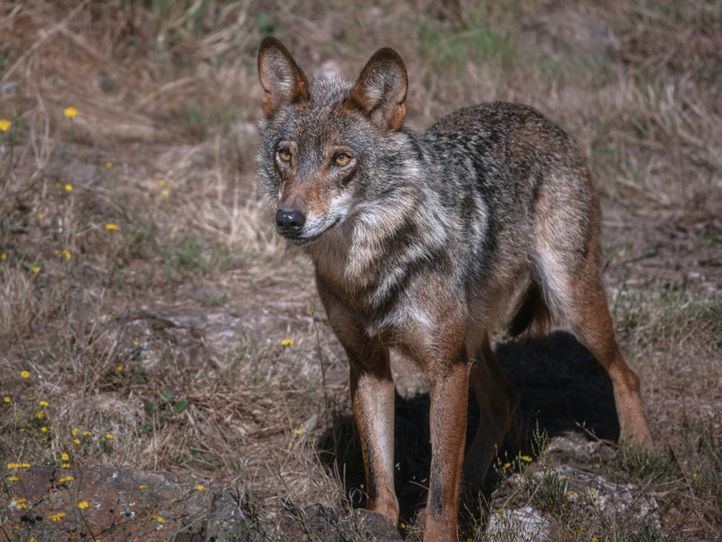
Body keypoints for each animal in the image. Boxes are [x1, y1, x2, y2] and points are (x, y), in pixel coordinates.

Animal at [256, 37, 652, 541]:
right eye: (285, 155)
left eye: (341, 159)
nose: (288, 219)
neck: (371, 271)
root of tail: (539, 115)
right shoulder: (369, 366)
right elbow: (380, 471)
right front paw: (380, 523)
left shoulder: (444, 369)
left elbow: (440, 486)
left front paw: (441, 526)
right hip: (472, 341)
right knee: (505, 400)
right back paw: (474, 486)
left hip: (568, 301)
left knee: (625, 372)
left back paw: (643, 451)